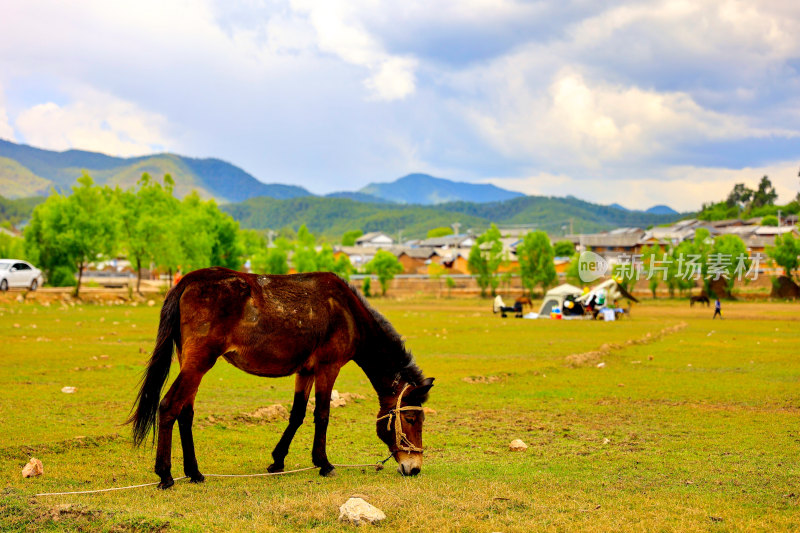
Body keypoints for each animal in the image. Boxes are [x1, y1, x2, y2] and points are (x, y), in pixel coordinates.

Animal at [128, 268, 434, 488]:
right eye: (410, 419)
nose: (414, 468)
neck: (347, 312)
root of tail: (187, 281)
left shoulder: (306, 371)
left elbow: (297, 414)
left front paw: (277, 461)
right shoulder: (328, 368)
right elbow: (322, 414)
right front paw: (323, 463)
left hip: (191, 363)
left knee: (185, 413)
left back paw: (194, 472)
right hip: (199, 362)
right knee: (169, 406)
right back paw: (165, 475)